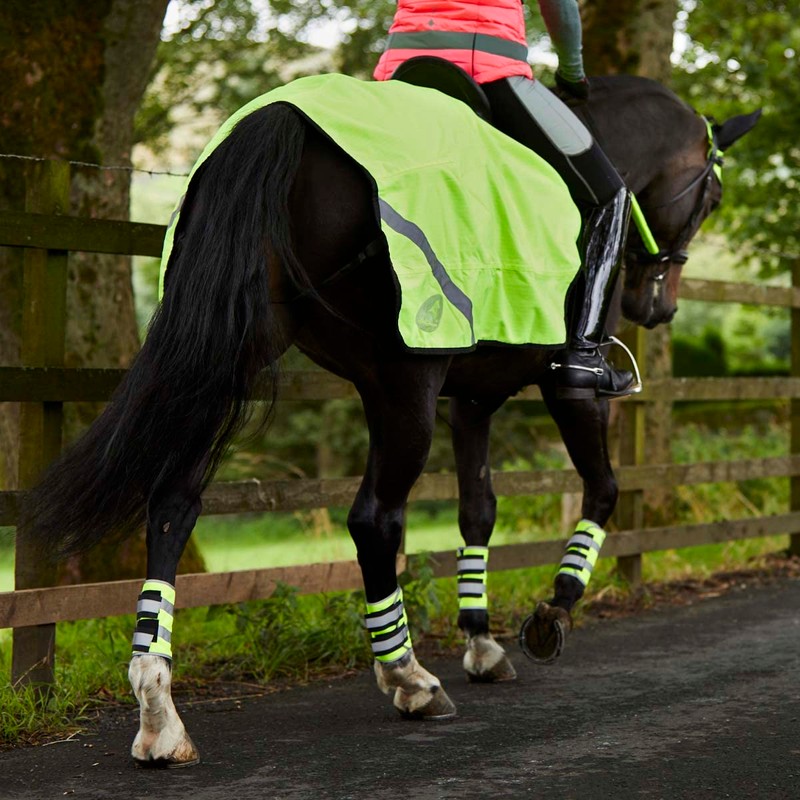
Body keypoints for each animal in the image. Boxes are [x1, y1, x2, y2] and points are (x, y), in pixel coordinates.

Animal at [20, 73, 759, 766]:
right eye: (713, 199)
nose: (656, 305)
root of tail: (283, 117)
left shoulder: (472, 400)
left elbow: (478, 511)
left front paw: (482, 641)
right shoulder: (569, 393)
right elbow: (602, 489)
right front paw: (551, 613)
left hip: (233, 356)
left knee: (174, 502)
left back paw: (159, 709)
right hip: (402, 381)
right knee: (374, 518)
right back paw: (409, 678)